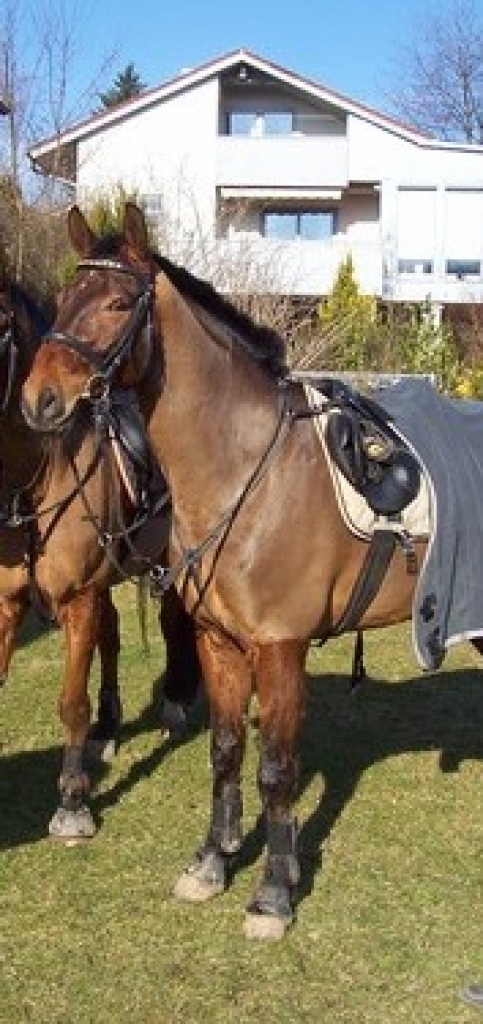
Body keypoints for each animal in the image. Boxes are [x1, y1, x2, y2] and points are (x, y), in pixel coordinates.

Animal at [0, 261, 200, 842]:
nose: (41, 401)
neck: (38, 479)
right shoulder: (8, 605)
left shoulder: (77, 600)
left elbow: (72, 702)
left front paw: (73, 803)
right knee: (112, 635)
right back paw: (110, 726)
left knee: (172, 620)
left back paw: (176, 701)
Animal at [21, 202, 460, 939]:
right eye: (62, 300)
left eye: (116, 303)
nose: (38, 399)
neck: (249, 467)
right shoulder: (219, 642)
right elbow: (225, 750)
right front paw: (210, 864)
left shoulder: (279, 648)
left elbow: (276, 771)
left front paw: (272, 894)